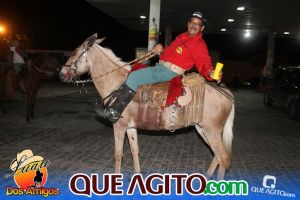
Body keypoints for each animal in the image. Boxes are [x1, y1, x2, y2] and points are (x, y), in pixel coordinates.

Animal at [58, 34, 236, 180]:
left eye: (74, 53)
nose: (61, 74)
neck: (117, 84)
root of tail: (226, 92)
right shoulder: (130, 128)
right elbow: (134, 151)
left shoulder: (119, 126)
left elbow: (118, 154)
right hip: (202, 128)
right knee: (217, 156)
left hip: (211, 130)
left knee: (223, 158)